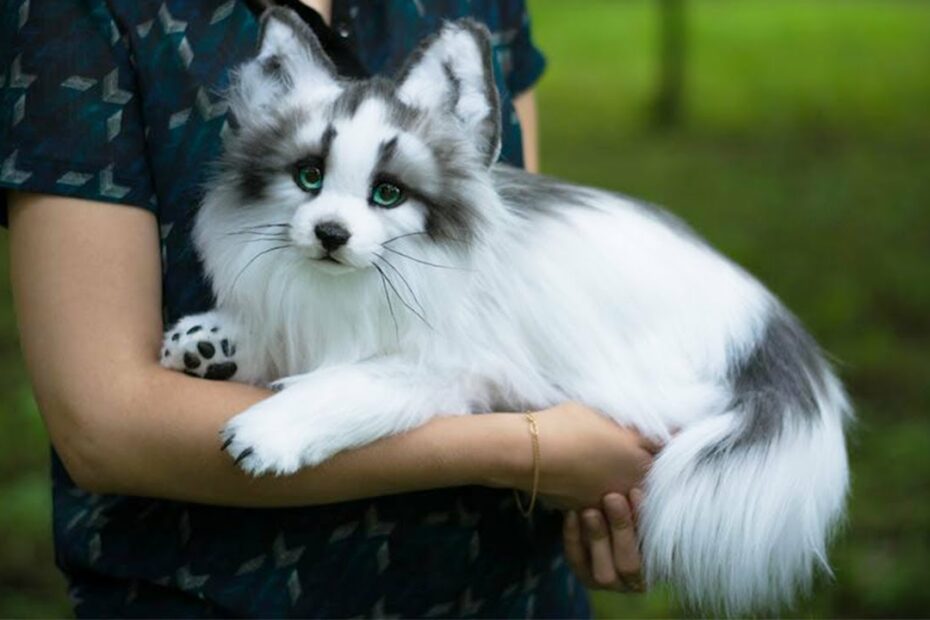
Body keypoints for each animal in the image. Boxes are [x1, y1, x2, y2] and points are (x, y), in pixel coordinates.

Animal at [161, 9, 848, 616]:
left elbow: (353, 385)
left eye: (388, 193)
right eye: (308, 176)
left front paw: (267, 430)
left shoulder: (451, 372)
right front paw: (211, 343)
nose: (330, 233)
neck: (358, 283)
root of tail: (769, 325)